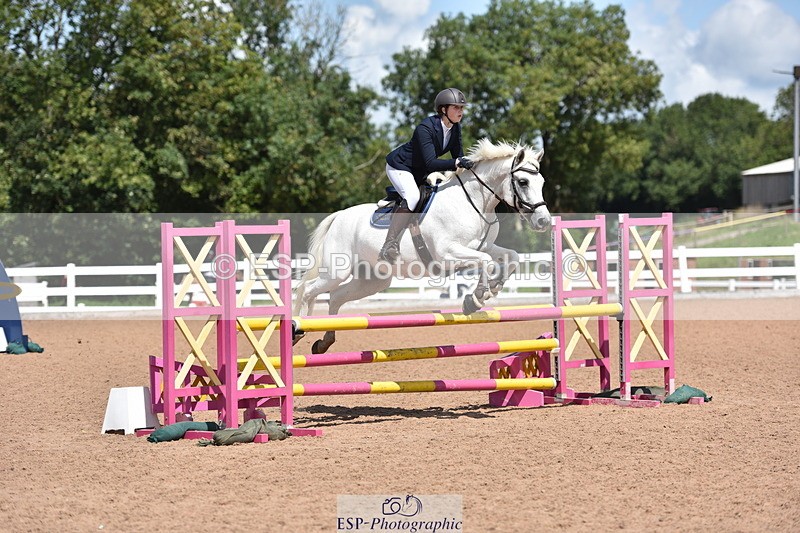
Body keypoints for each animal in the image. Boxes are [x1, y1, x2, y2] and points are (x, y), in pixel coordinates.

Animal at [294, 139, 551, 354]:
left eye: (541, 182)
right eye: (523, 182)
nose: (544, 222)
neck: (473, 203)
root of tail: (338, 216)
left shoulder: (484, 246)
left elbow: (511, 257)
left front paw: (494, 287)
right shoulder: (448, 254)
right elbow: (486, 262)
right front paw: (475, 298)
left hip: (372, 279)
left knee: (336, 296)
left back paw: (324, 341)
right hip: (337, 270)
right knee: (308, 291)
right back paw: (299, 329)